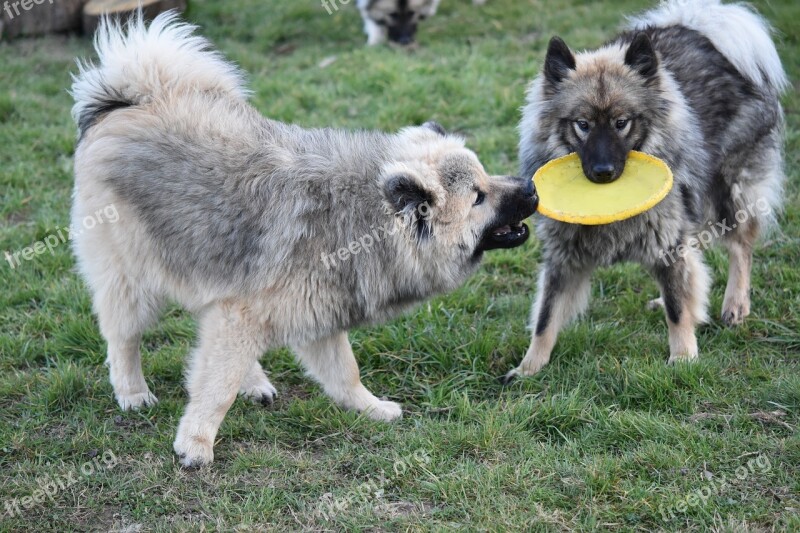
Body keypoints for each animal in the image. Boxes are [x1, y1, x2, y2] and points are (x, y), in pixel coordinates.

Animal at [70, 10, 536, 464]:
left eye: (486, 177)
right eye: (478, 197)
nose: (532, 189)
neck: (363, 219)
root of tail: (134, 99)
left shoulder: (313, 314)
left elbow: (345, 373)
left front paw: (369, 408)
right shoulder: (247, 313)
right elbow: (216, 386)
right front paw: (196, 442)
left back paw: (253, 381)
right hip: (134, 277)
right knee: (123, 337)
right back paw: (133, 392)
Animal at [506, 0, 788, 382]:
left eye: (621, 123)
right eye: (583, 125)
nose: (603, 172)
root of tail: (699, 30)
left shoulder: (667, 241)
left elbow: (677, 308)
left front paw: (682, 357)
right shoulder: (564, 256)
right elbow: (545, 318)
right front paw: (529, 368)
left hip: (728, 190)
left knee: (740, 246)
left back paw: (735, 305)